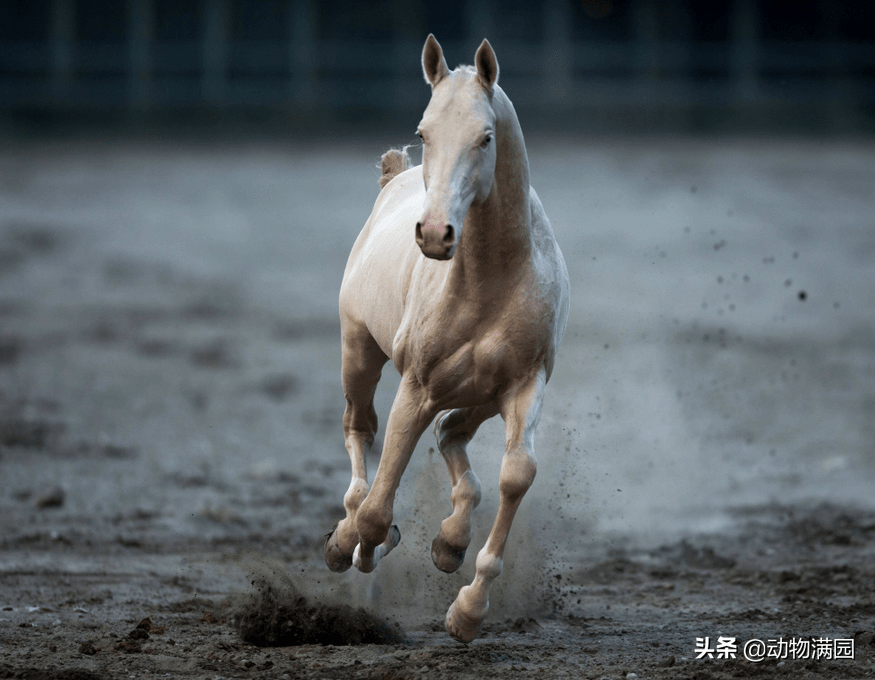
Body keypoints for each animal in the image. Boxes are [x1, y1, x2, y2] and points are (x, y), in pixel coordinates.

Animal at [326, 35, 572, 644]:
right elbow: (378, 502)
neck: (490, 278)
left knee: (450, 434)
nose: (436, 234)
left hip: (480, 395)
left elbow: (516, 474)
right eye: (424, 132)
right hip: (359, 354)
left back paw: (448, 541)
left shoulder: (524, 385)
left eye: (485, 136)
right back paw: (349, 537)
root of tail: (393, 179)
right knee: (360, 431)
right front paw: (356, 543)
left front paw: (467, 608)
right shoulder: (417, 386)